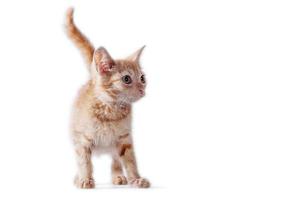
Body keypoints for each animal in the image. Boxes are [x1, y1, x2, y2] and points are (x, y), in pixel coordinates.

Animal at [65, 7, 150, 188]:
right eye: (127, 79)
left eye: (142, 78)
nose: (142, 90)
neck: (111, 109)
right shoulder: (82, 139)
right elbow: (83, 161)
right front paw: (84, 179)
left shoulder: (125, 138)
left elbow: (130, 161)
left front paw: (136, 178)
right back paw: (78, 178)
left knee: (115, 159)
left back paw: (118, 176)